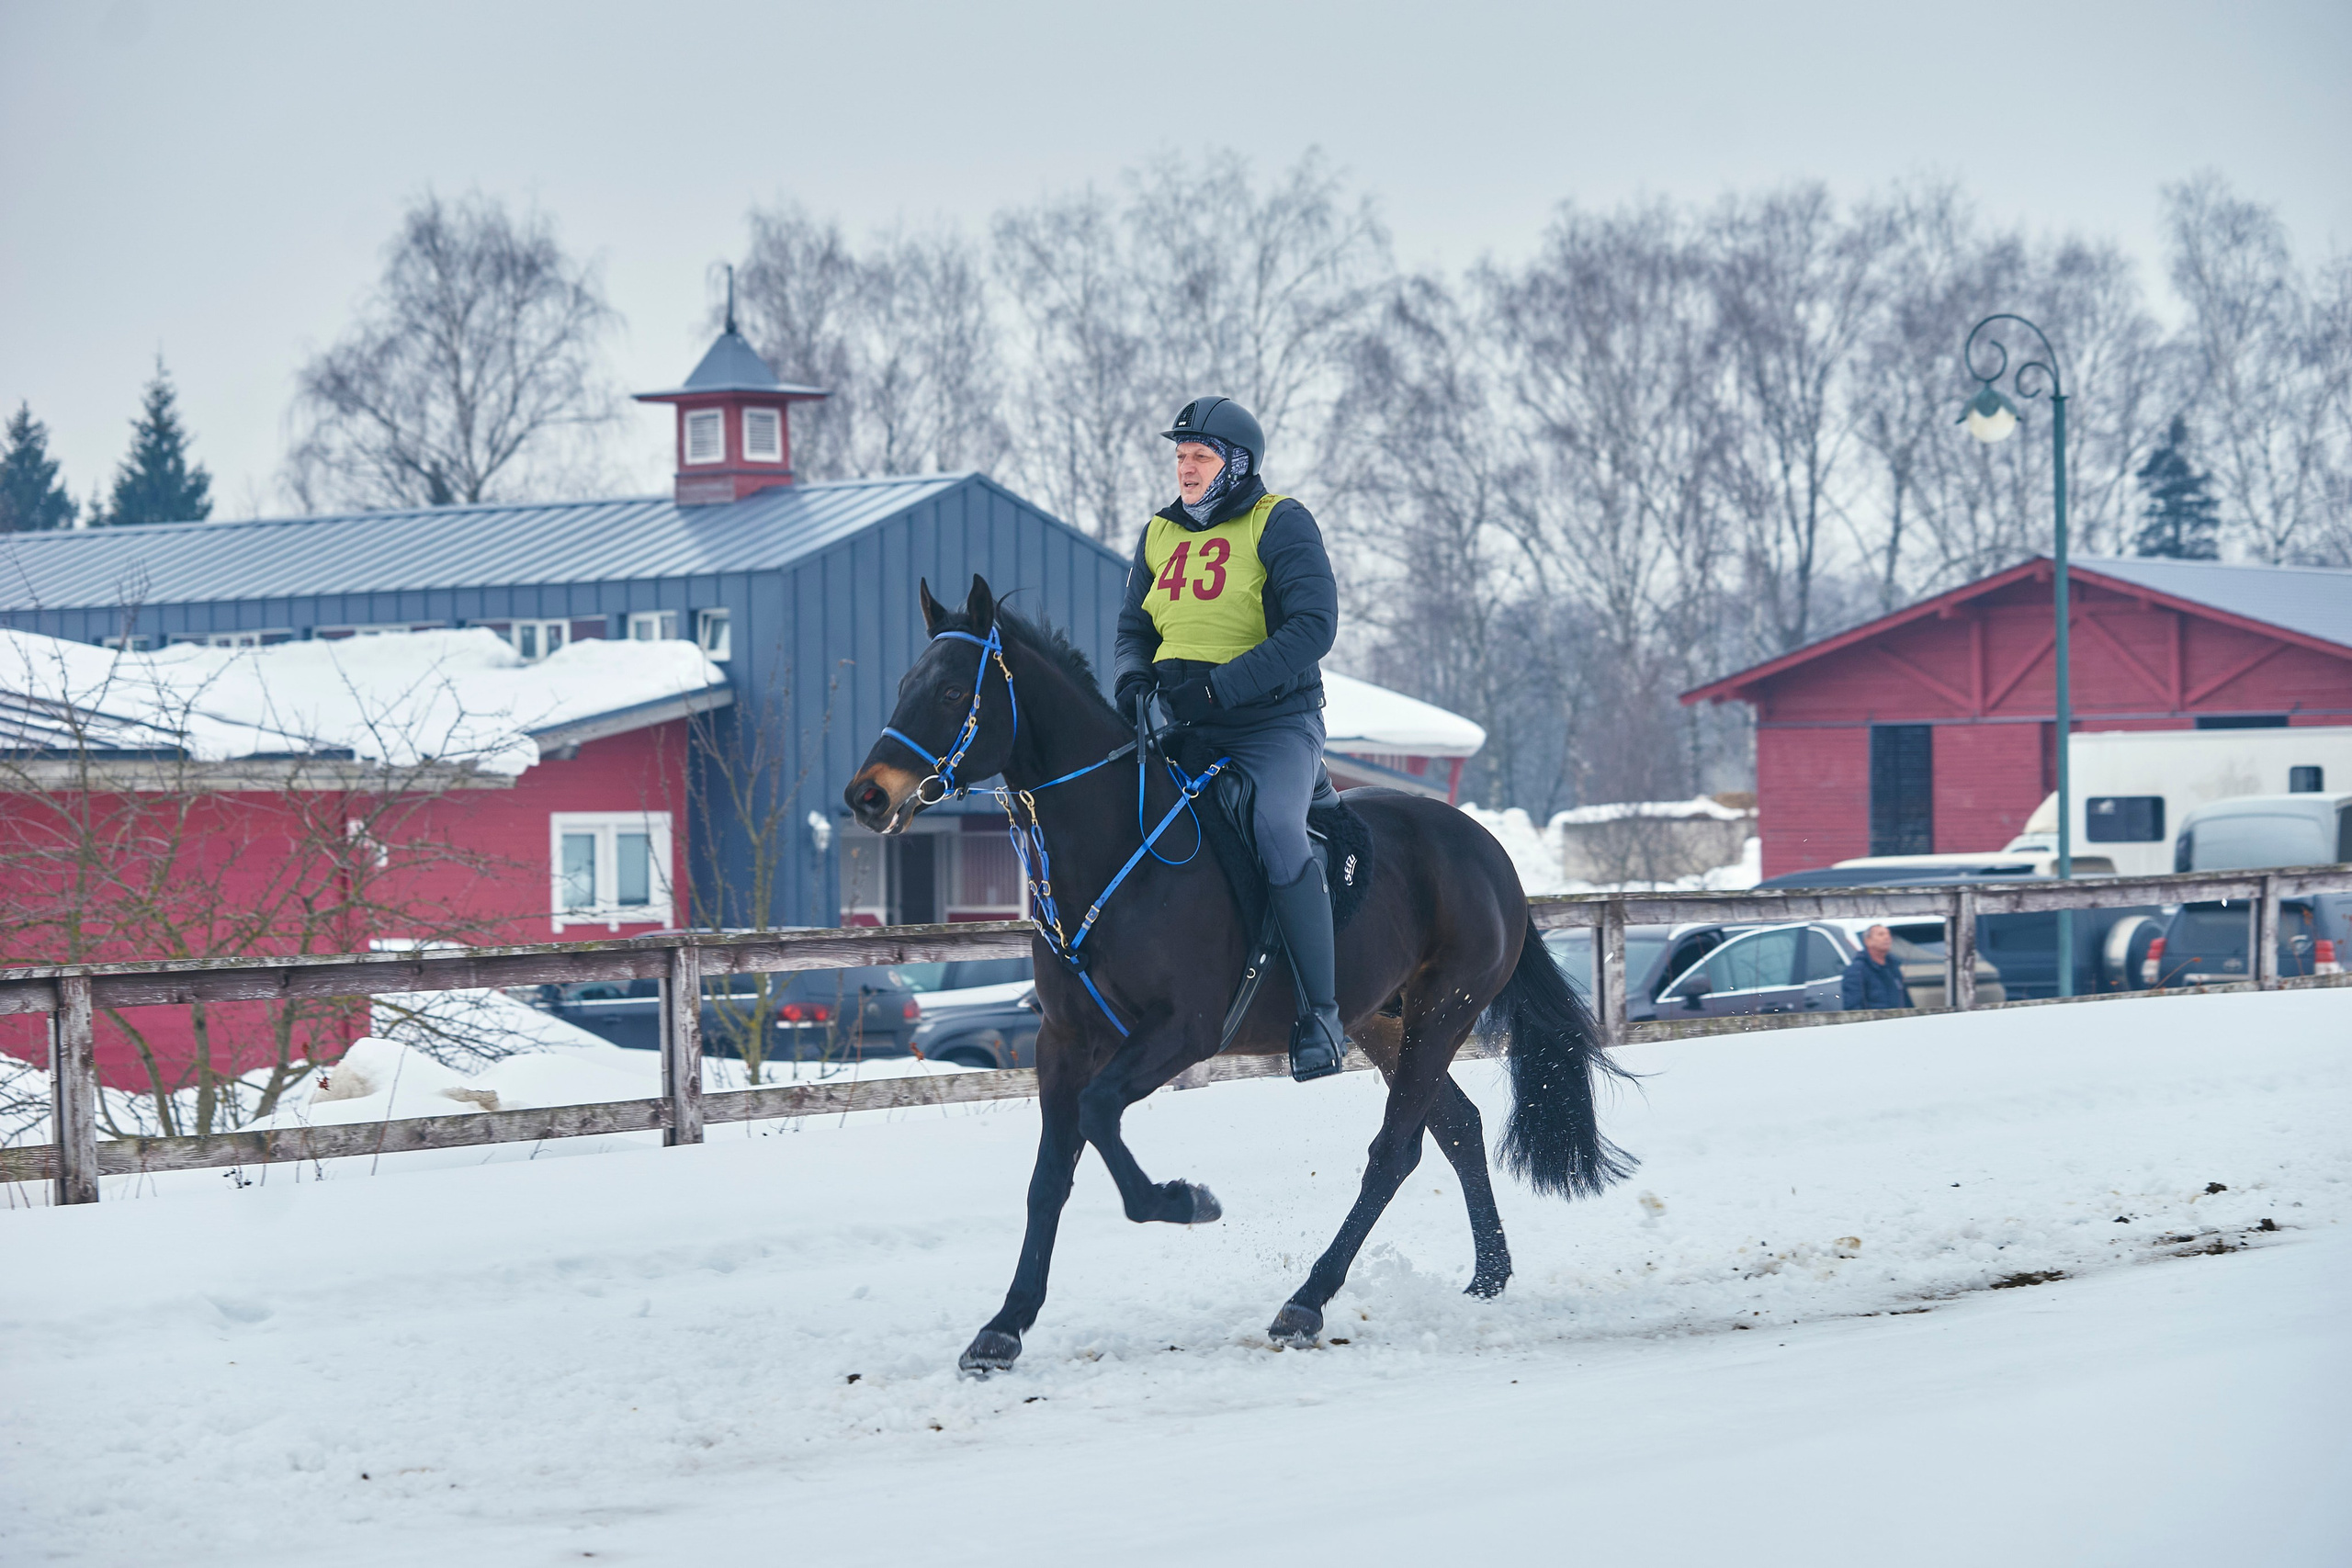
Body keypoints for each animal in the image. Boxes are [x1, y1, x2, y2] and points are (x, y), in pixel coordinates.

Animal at [845, 576, 1633, 1373]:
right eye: (906, 684)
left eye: (951, 691)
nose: (867, 795)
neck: (1117, 842)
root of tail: (1486, 848)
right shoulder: (1061, 1041)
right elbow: (1049, 1176)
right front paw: (1005, 1324)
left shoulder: (1182, 1031)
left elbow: (1099, 1117)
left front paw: (1186, 1200)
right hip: (1386, 1022)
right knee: (1458, 1128)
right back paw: (1487, 1275)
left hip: (1444, 1012)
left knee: (1394, 1151)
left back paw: (1307, 1301)